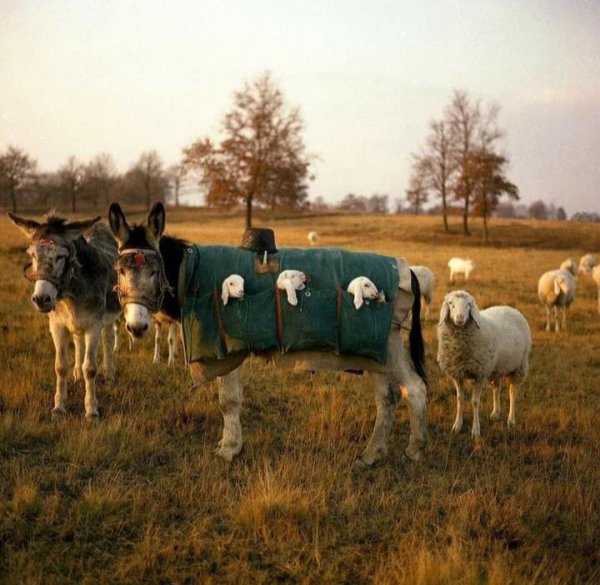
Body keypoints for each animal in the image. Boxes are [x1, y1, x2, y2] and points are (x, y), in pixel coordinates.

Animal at [436, 290, 528, 436]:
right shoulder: (457, 374)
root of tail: (511, 308)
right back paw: (496, 413)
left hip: (519, 367)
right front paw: (457, 425)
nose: (460, 318)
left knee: (512, 393)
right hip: (497, 368)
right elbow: (459, 399)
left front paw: (475, 430)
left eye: (468, 304)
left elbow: (475, 402)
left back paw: (511, 420)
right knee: (497, 388)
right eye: (451, 303)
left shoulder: (480, 374)